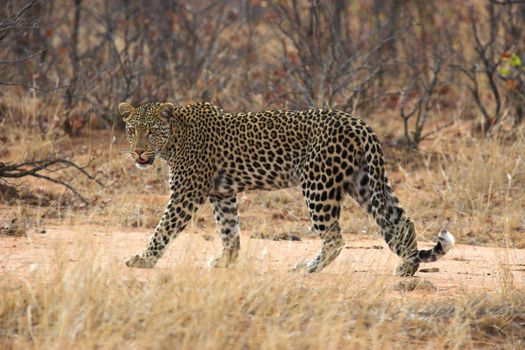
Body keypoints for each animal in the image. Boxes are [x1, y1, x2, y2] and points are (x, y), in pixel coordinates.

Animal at [118, 101, 454, 276]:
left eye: (152, 131)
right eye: (132, 130)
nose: (138, 151)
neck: (175, 138)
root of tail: (360, 124)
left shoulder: (186, 193)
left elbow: (163, 229)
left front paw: (144, 259)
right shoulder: (222, 193)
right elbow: (229, 230)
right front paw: (227, 261)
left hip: (318, 185)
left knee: (334, 238)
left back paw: (309, 267)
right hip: (364, 183)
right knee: (401, 222)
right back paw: (407, 268)